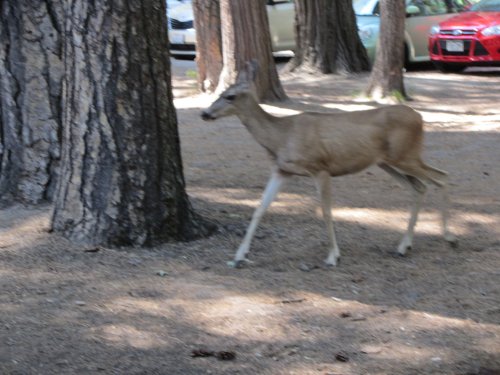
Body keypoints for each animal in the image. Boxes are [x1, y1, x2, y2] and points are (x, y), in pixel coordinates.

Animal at [200, 61, 458, 268]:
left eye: (230, 96)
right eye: (221, 92)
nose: (205, 113)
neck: (281, 137)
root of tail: (420, 118)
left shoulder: (320, 167)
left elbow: (326, 211)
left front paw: (333, 256)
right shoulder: (281, 170)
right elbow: (259, 209)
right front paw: (239, 256)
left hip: (405, 155)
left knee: (442, 176)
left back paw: (449, 237)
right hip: (388, 162)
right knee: (420, 186)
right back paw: (404, 246)